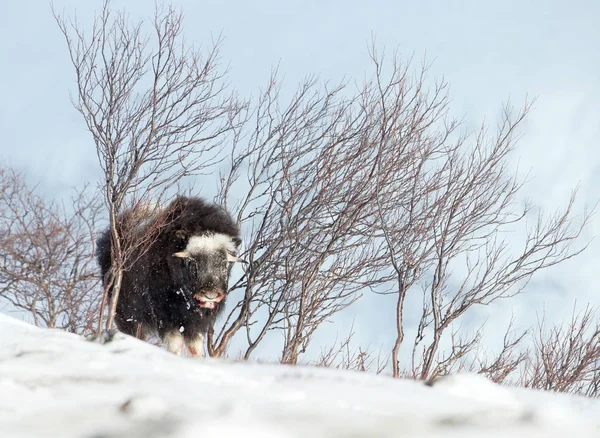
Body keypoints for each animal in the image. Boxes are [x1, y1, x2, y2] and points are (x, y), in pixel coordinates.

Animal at [96, 197, 241, 358]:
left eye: (224, 263)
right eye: (192, 263)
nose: (210, 295)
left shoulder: (195, 323)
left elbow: (195, 346)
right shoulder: (166, 317)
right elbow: (174, 344)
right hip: (127, 315)